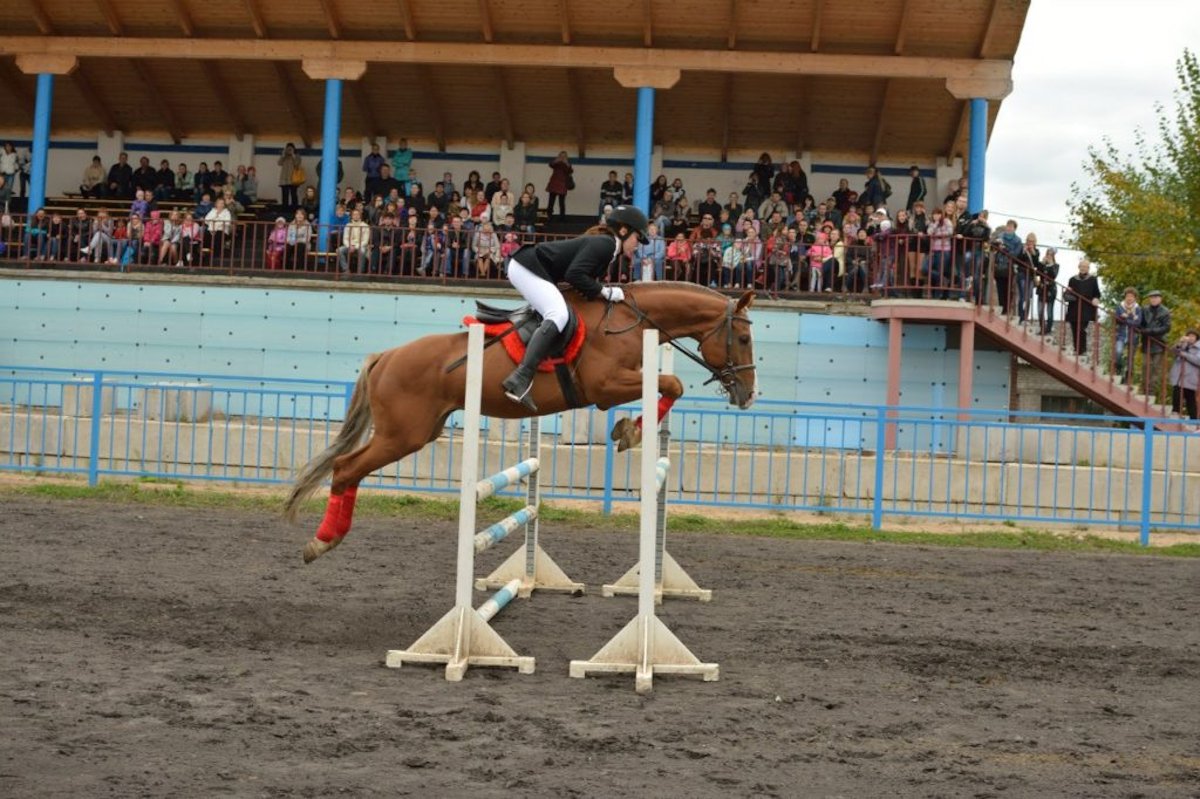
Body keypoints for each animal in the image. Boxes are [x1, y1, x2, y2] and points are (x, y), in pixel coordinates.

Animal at [284, 281, 753, 559]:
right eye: (745, 337)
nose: (748, 395)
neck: (628, 320)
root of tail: (386, 356)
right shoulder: (604, 387)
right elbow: (673, 383)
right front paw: (631, 432)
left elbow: (670, 385)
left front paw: (628, 432)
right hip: (403, 435)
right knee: (346, 467)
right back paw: (322, 541)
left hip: (417, 431)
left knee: (348, 468)